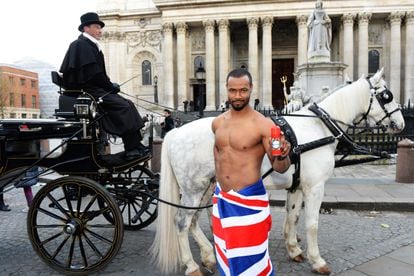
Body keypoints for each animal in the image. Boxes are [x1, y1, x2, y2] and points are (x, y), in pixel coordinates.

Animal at [149, 68, 404, 274]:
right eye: (387, 95)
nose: (401, 124)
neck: (319, 127)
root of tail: (175, 132)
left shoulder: (297, 185)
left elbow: (293, 216)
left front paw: (294, 249)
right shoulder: (315, 187)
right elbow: (312, 223)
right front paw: (317, 260)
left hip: (206, 186)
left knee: (193, 221)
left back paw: (208, 256)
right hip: (193, 188)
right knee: (182, 222)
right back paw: (191, 265)